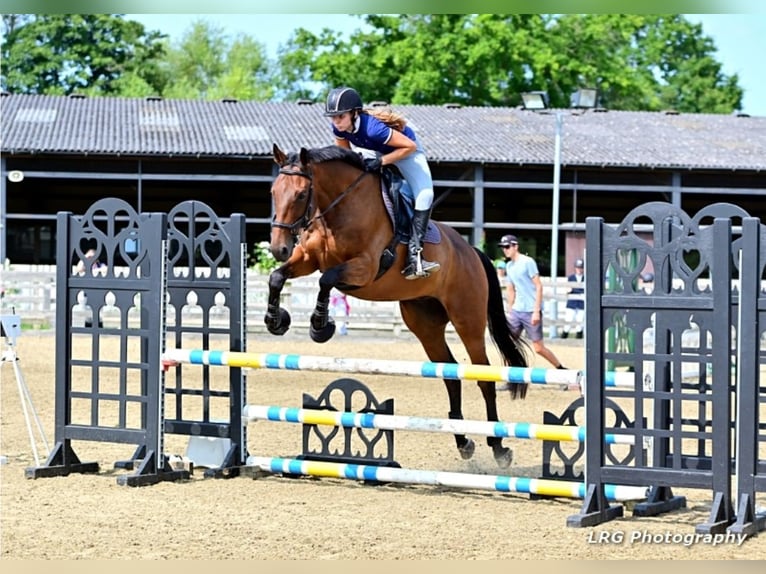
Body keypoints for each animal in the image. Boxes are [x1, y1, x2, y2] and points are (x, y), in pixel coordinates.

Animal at [268, 143, 532, 468]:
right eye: (274, 191)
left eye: (301, 194)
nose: (278, 248)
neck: (338, 208)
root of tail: (471, 251)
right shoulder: (307, 259)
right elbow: (277, 277)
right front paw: (275, 320)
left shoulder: (364, 268)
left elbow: (326, 280)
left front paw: (320, 326)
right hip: (425, 323)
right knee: (450, 374)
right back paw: (463, 442)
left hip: (467, 319)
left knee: (484, 377)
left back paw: (498, 447)